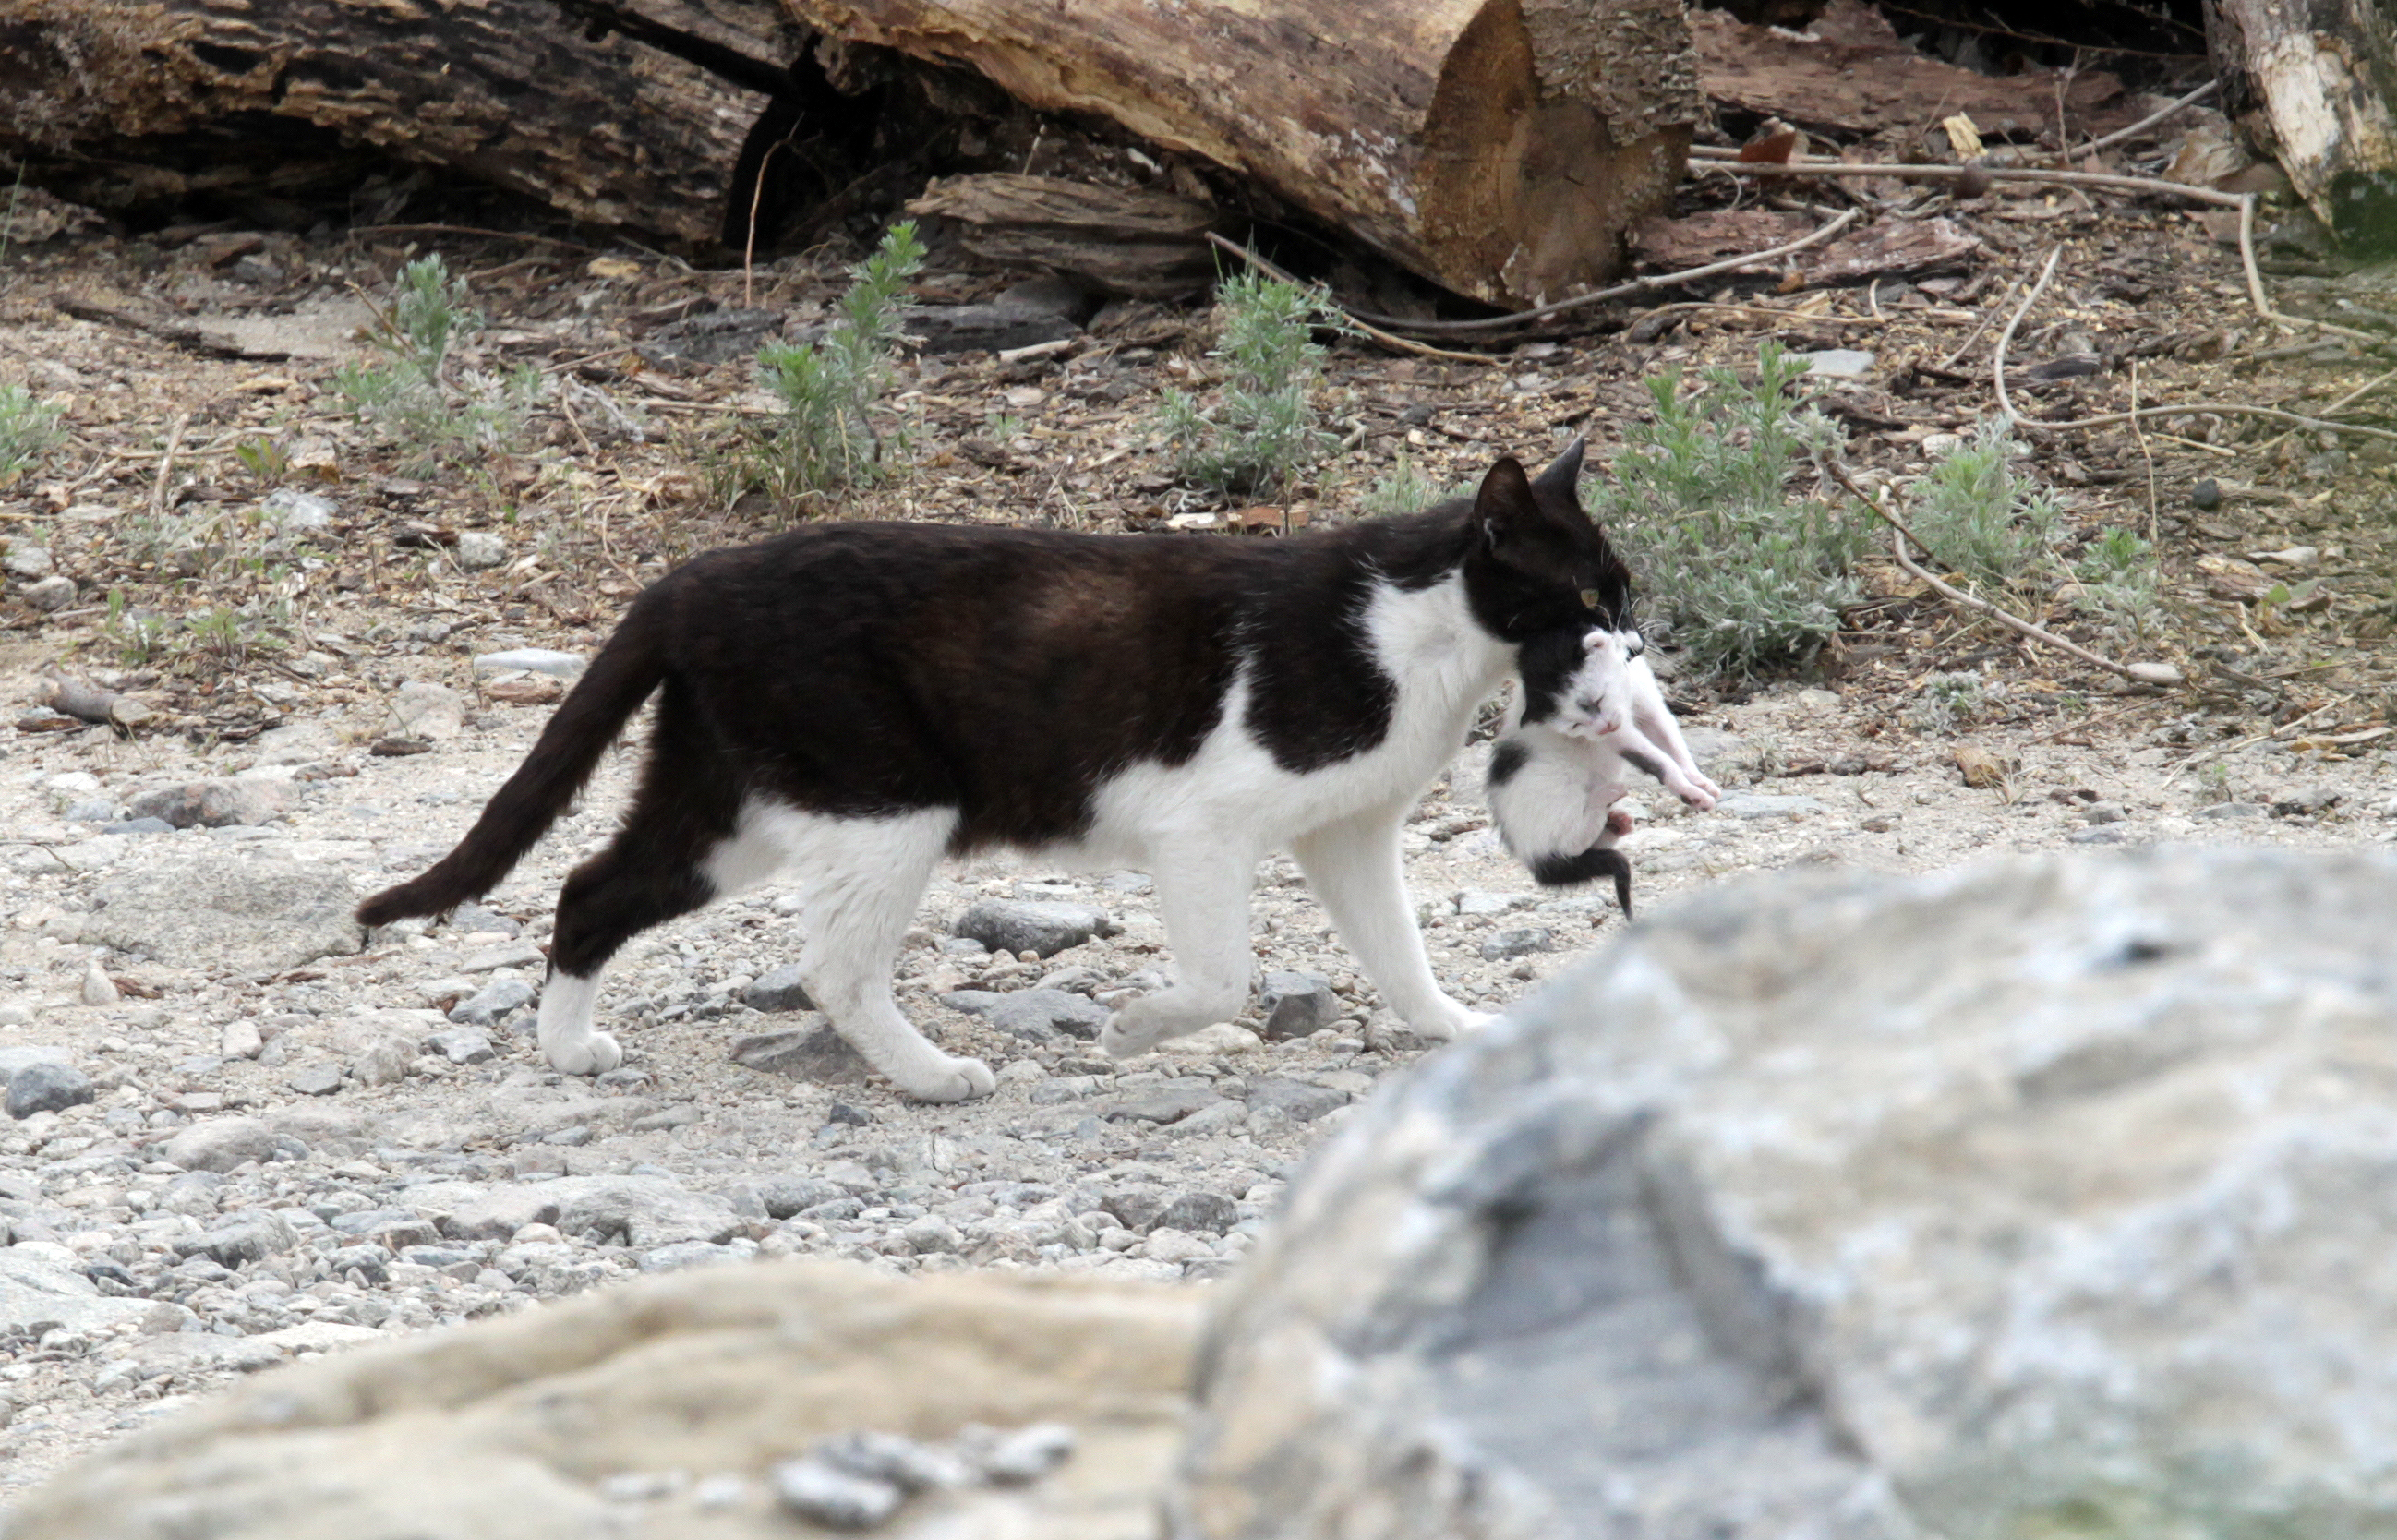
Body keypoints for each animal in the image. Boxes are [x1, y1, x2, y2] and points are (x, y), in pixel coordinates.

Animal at [355, 440, 1630, 1101]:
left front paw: (1453, 1030)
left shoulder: (1349, 832)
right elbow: (1221, 980)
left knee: (593, 890)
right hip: (885, 799)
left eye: (1620, 587)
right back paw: (930, 1075)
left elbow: (1397, 949)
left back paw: (567, 1049)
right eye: (1579, 590)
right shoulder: (1202, 829)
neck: (1424, 634)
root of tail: (689, 577)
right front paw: (1131, 1032)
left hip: (738, 804)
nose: (1628, 629)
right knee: (832, 967)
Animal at [1486, 622, 1716, 914]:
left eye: (1597, 700)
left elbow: (1672, 742)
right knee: (1569, 843)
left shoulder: (1648, 704)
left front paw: (1699, 780)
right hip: (1553, 781)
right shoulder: (1619, 735)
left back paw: (1616, 823)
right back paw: (1603, 800)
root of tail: (1531, 858)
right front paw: (1692, 794)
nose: (1603, 727)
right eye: (1574, 726)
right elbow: (1659, 761)